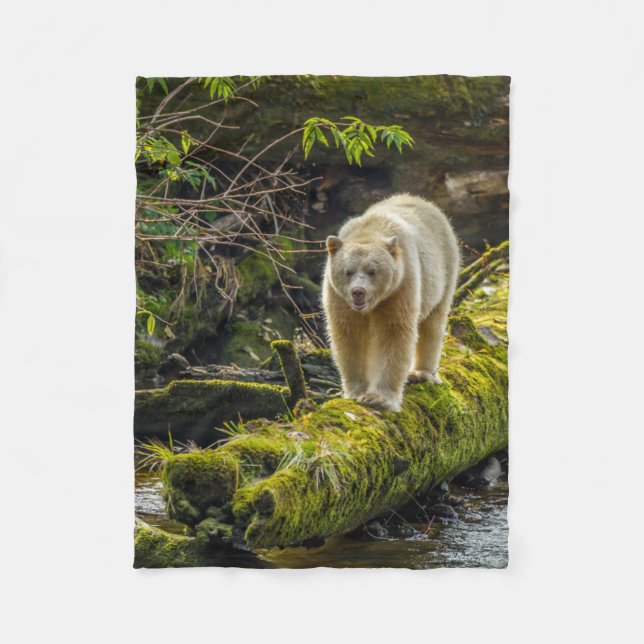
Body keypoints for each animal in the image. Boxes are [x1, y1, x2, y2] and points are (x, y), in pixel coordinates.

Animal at [322, 194, 460, 412]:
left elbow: (393, 333)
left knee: (433, 324)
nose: (358, 292)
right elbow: (349, 336)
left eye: (372, 271)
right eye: (348, 271)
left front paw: (378, 398)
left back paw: (422, 373)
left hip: (443, 273)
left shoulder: (399, 288)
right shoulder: (339, 298)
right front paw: (356, 391)